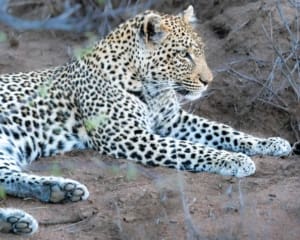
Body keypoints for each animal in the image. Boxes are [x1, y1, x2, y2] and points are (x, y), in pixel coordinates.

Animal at [0, 6, 292, 236]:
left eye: (200, 52)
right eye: (184, 55)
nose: (208, 81)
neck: (152, 88)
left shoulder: (173, 120)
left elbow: (222, 130)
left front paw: (269, 143)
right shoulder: (127, 136)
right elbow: (190, 148)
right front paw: (233, 159)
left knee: (8, 178)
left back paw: (53, 195)